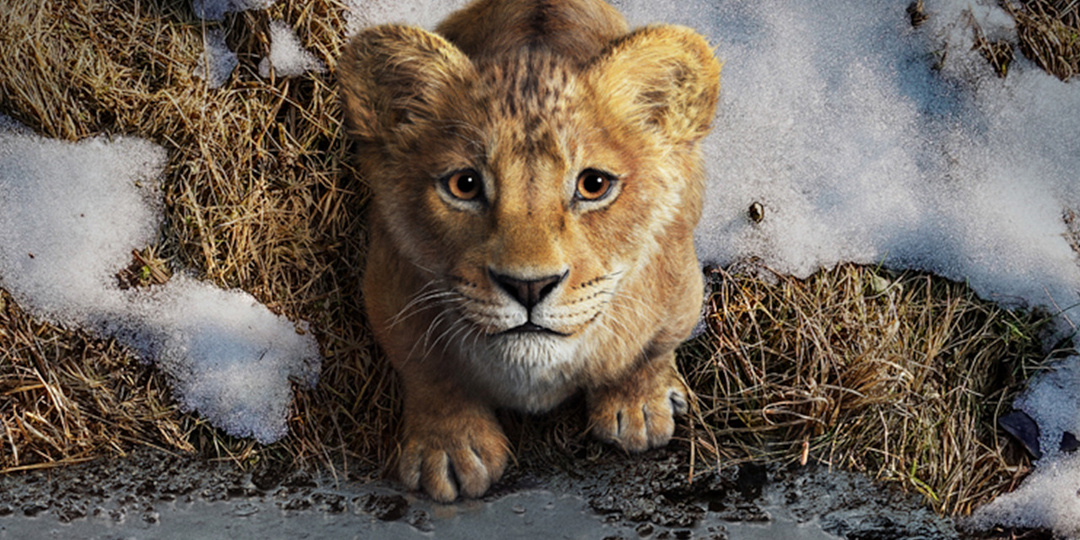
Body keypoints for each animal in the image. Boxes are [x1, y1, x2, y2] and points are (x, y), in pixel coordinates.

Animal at [338, 0, 721, 502]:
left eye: (593, 184)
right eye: (464, 185)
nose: (529, 287)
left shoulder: (680, 284)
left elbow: (651, 349)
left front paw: (638, 407)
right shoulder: (388, 283)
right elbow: (427, 369)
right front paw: (451, 449)